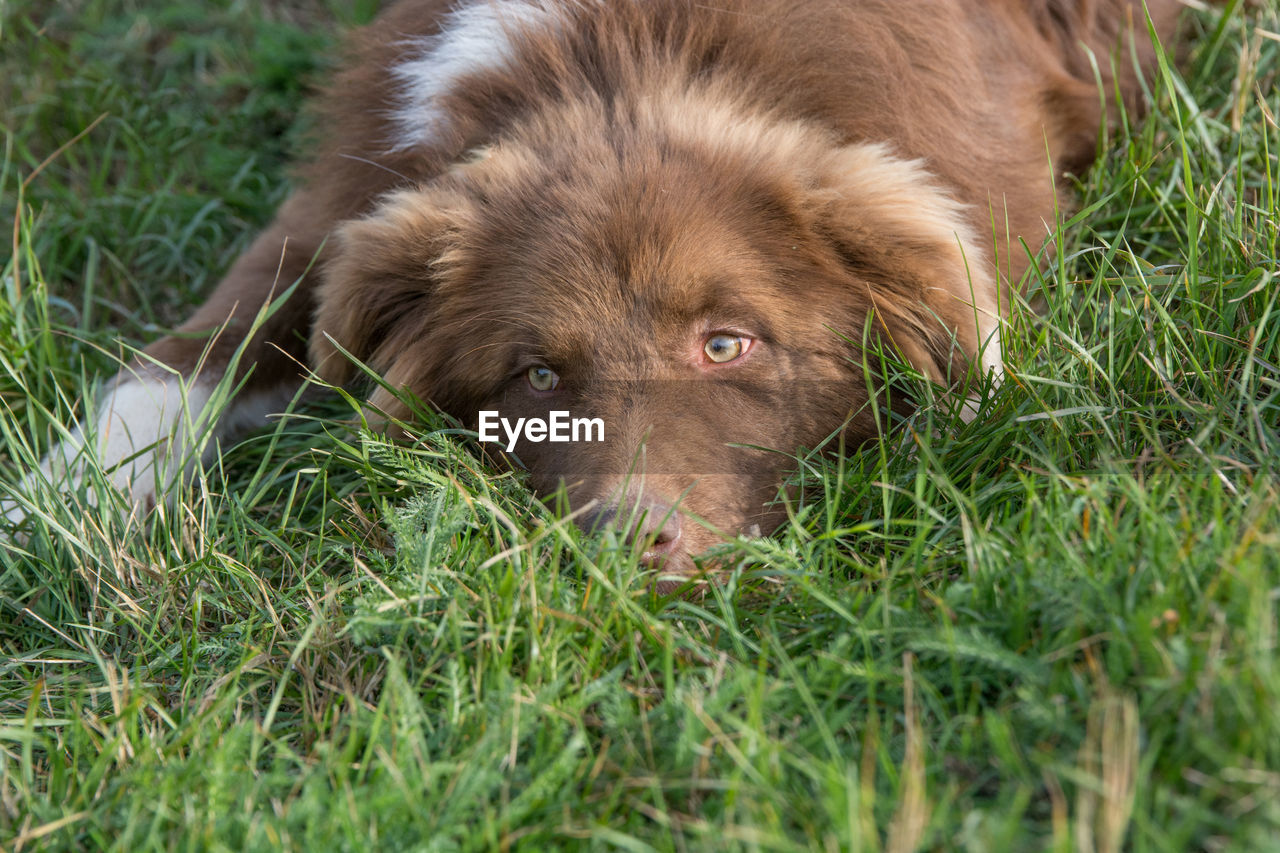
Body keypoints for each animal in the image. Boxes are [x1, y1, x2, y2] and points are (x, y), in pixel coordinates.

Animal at [7, 0, 1187, 578]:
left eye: (726, 343)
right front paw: (61, 501)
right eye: (534, 375)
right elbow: (191, 353)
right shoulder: (343, 196)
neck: (631, 59)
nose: (632, 540)